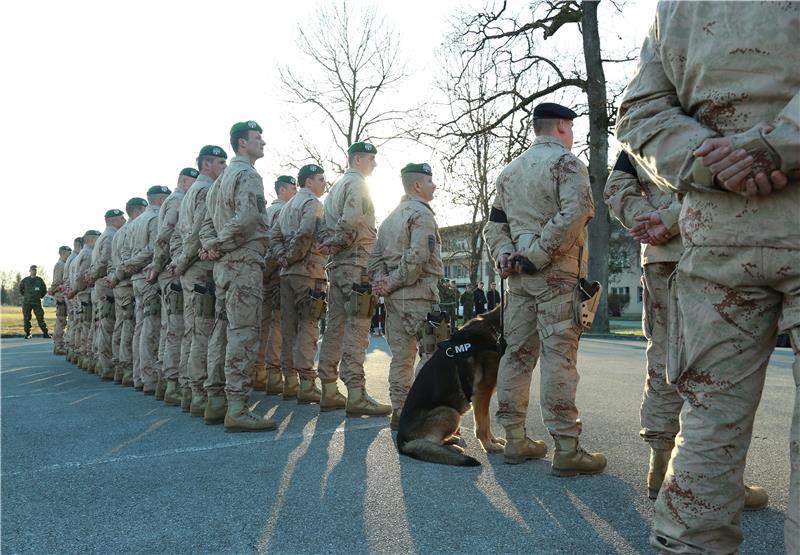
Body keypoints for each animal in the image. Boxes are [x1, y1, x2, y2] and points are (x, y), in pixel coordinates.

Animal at [398, 306, 510, 466]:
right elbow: (484, 423)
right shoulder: (482, 393)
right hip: (450, 412)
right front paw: (489, 446)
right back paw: (452, 448)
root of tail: (400, 441)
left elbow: (486, 422)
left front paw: (493, 441)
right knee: (431, 443)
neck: (494, 328)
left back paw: (453, 440)